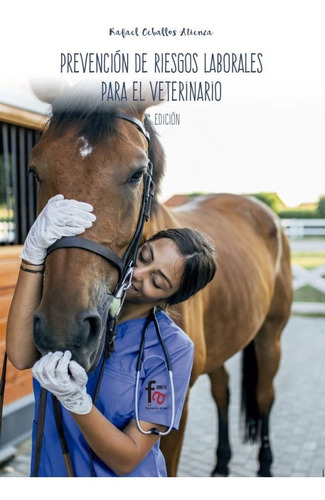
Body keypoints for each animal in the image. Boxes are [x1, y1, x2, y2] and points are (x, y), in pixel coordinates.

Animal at [27, 82, 292, 476]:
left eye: (137, 173)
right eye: (35, 169)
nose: (63, 328)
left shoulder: (174, 417)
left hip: (270, 336)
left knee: (264, 396)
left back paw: (264, 465)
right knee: (223, 391)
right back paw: (221, 463)